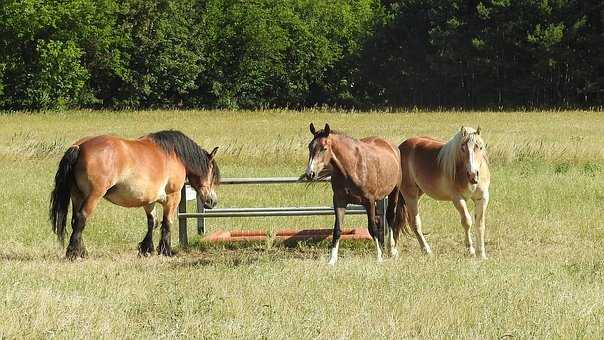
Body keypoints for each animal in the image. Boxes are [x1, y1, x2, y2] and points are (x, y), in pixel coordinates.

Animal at [49, 129, 219, 258]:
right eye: (212, 173)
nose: (212, 202)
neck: (174, 154)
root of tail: (79, 147)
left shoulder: (149, 200)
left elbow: (152, 222)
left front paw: (146, 249)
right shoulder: (173, 196)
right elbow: (167, 222)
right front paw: (166, 250)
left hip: (77, 196)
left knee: (75, 221)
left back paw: (82, 251)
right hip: (93, 196)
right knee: (81, 218)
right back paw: (73, 253)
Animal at [304, 123, 404, 266]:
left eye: (324, 148)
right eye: (309, 147)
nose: (310, 174)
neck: (352, 167)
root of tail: (391, 147)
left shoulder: (369, 201)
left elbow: (372, 228)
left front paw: (379, 257)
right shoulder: (339, 201)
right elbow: (337, 229)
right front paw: (332, 260)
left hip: (394, 192)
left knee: (390, 217)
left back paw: (392, 250)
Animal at [392, 126, 490, 258]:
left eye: (480, 147)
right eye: (462, 148)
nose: (472, 175)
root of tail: (400, 148)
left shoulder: (482, 198)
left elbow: (480, 224)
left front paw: (482, 253)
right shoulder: (458, 199)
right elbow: (467, 222)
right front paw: (470, 249)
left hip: (418, 193)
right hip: (409, 195)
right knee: (414, 223)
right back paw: (425, 249)